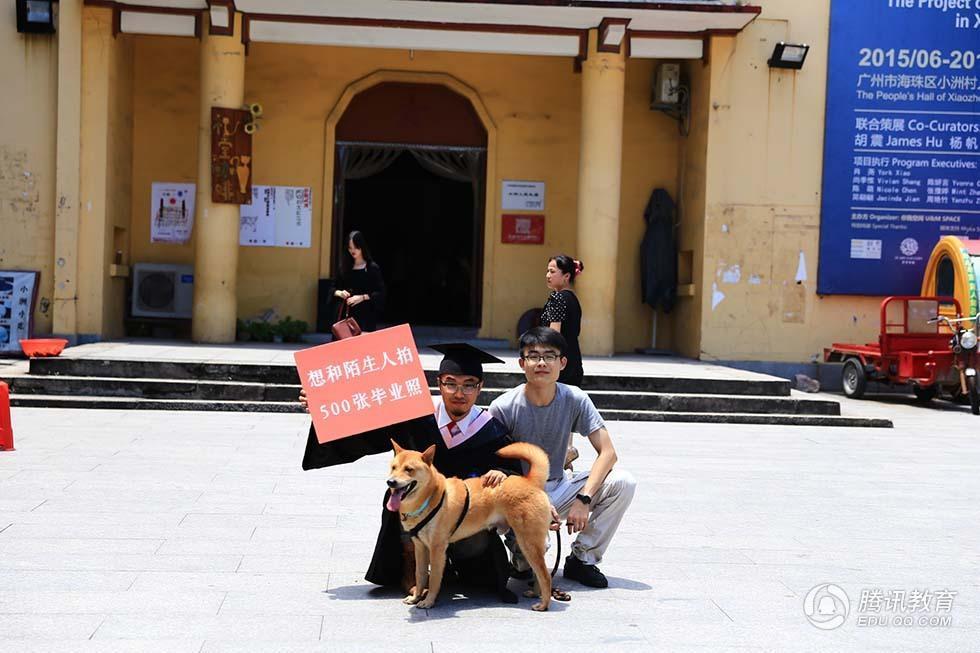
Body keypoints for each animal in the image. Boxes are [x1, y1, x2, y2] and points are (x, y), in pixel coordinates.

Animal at [384, 438, 552, 612]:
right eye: (393, 467)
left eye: (409, 469)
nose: (390, 482)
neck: (430, 498)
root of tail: (530, 481)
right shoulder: (420, 546)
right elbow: (420, 574)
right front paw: (416, 597)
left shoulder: (437, 549)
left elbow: (435, 579)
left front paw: (428, 601)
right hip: (528, 544)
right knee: (540, 573)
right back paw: (536, 594)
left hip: (528, 543)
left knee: (545, 575)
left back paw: (544, 604)